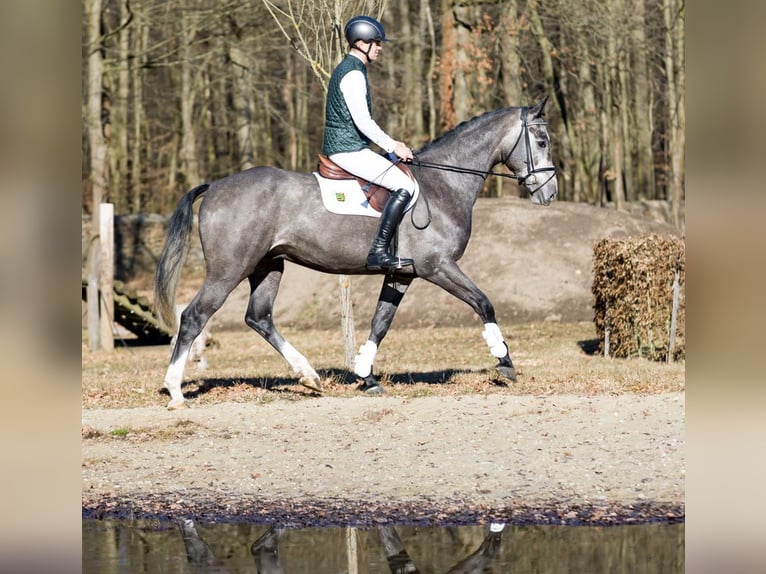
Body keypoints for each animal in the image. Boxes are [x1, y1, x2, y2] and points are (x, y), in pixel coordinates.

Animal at [154, 98, 558, 409]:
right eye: (541, 140)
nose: (549, 192)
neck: (443, 184)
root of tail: (215, 186)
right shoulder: (438, 267)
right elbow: (483, 302)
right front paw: (504, 361)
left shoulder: (401, 273)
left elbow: (381, 323)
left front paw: (367, 376)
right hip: (229, 269)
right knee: (194, 316)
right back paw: (175, 391)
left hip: (268, 266)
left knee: (259, 317)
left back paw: (309, 376)